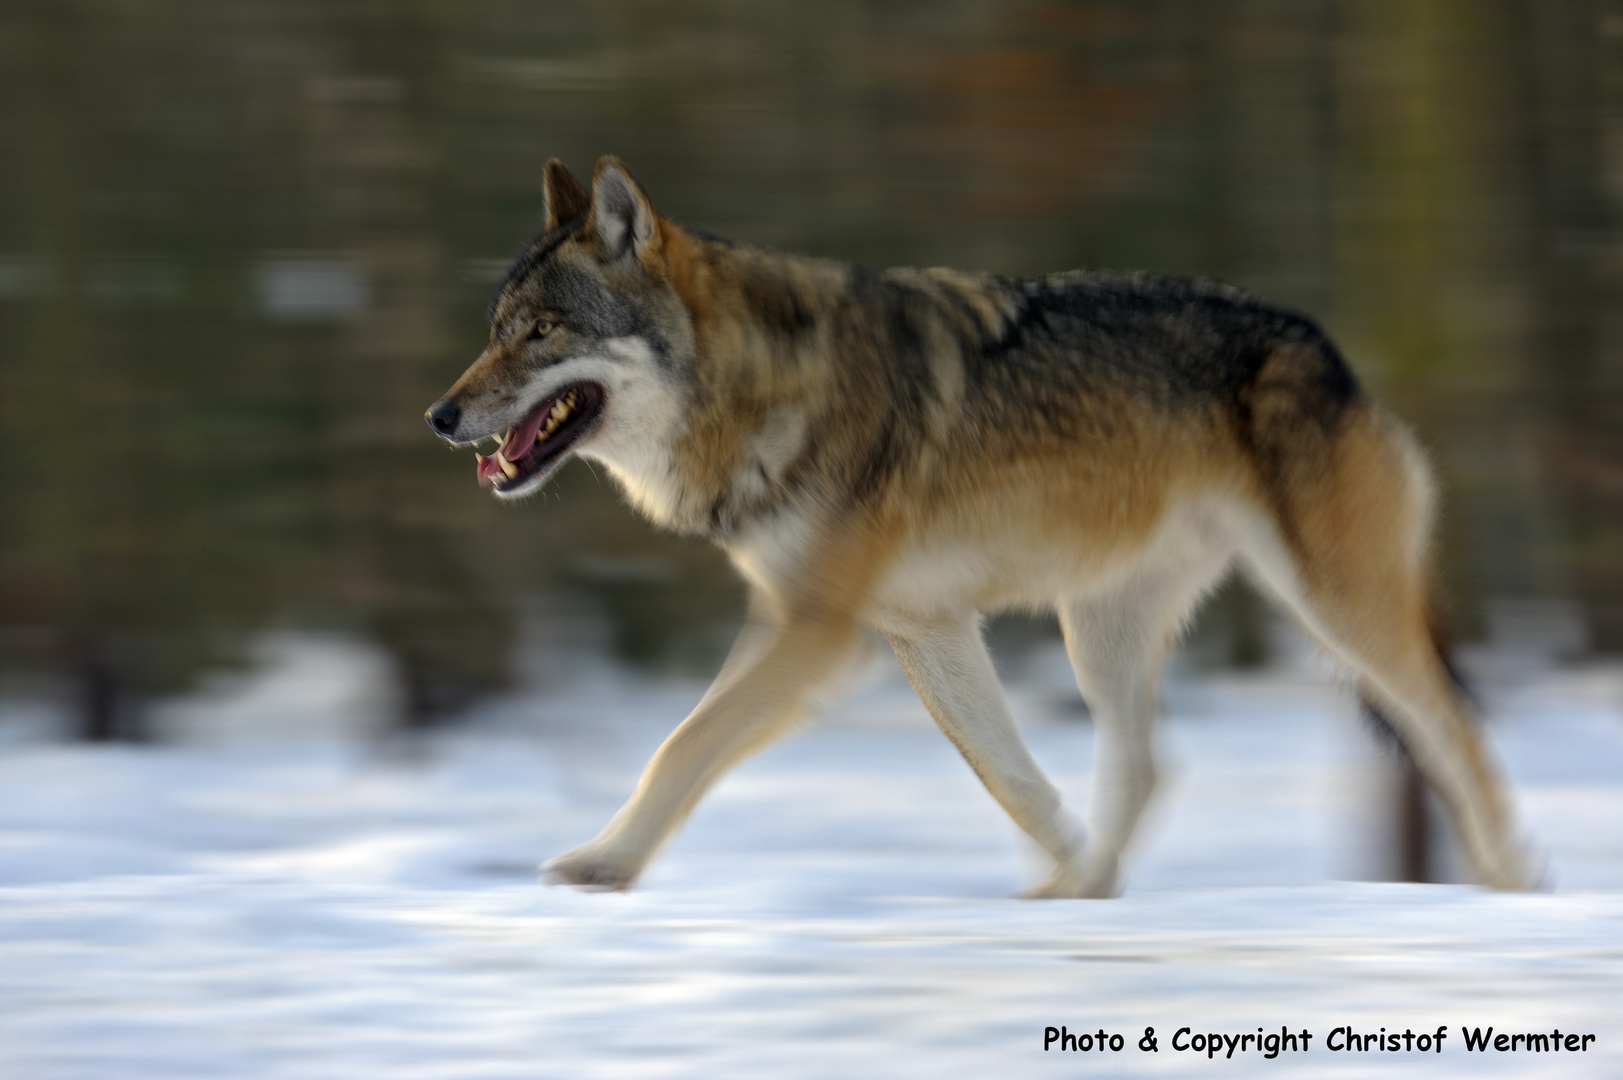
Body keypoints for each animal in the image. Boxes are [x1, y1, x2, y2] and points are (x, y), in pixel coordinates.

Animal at [421, 155, 1532, 896]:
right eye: (493, 332)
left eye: (542, 332)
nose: (439, 416)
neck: (764, 388)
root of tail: (1331, 351)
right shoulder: (914, 628)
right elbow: (1010, 777)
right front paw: (1069, 877)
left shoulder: (820, 634)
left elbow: (681, 746)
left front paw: (604, 863)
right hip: (1102, 635)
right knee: (1149, 763)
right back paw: (1086, 890)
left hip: (1334, 610)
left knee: (1453, 730)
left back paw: (1511, 881)